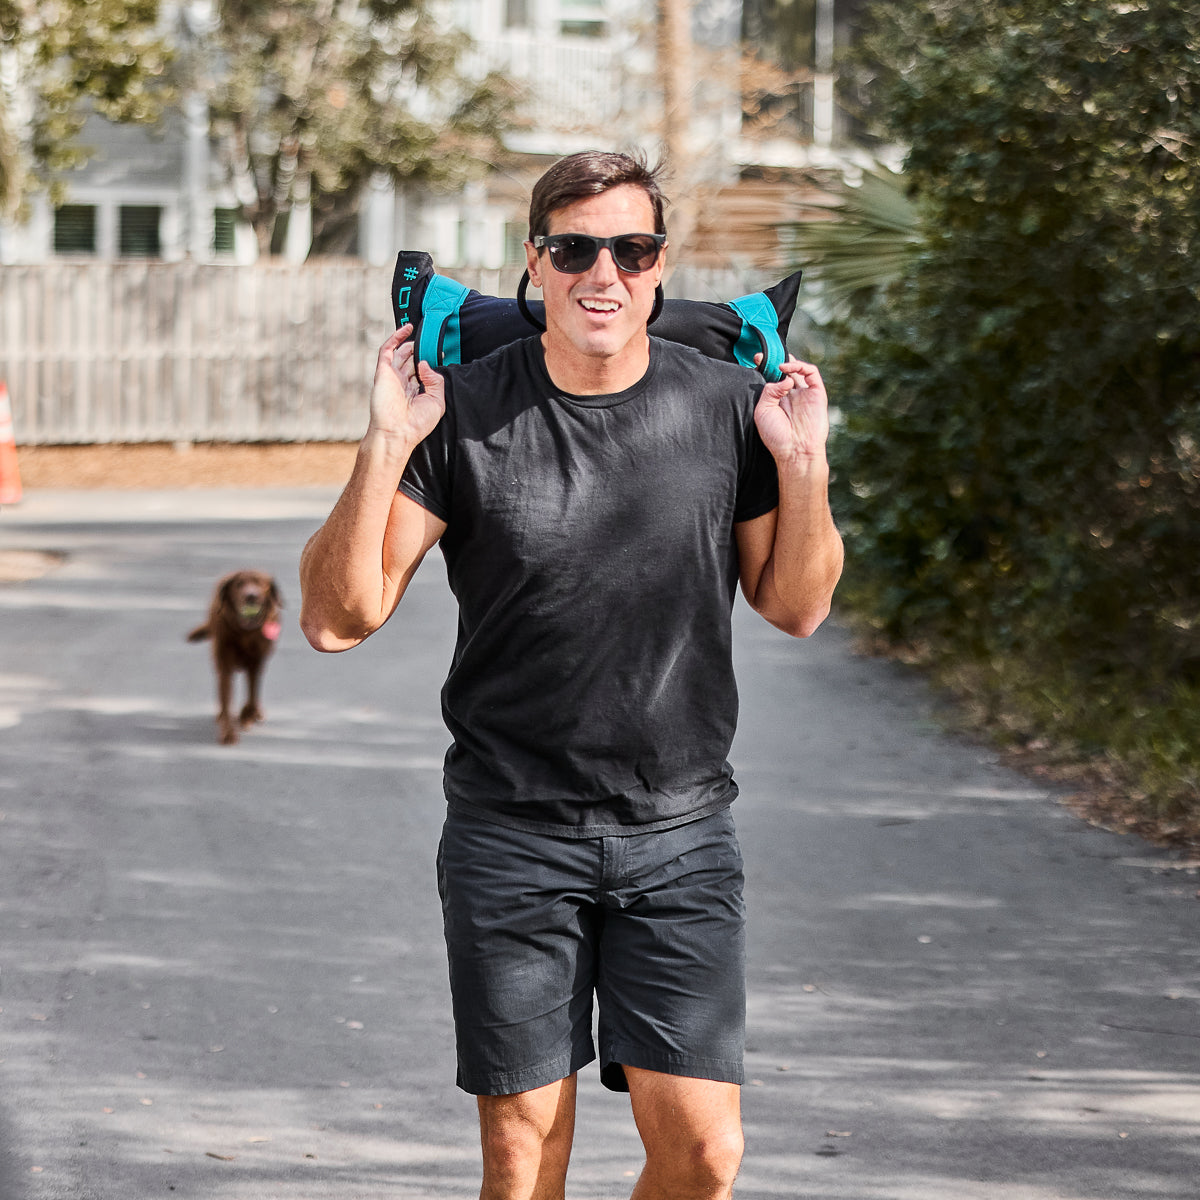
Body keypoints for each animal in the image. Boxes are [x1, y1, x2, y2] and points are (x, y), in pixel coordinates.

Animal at [186, 568, 282, 739]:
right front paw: (228, 733)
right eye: (239, 584)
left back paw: (255, 712)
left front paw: (248, 715)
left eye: (260, 583)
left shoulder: (256, 662)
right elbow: (226, 698)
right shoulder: (225, 663)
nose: (251, 596)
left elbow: (252, 691)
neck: (245, 633)